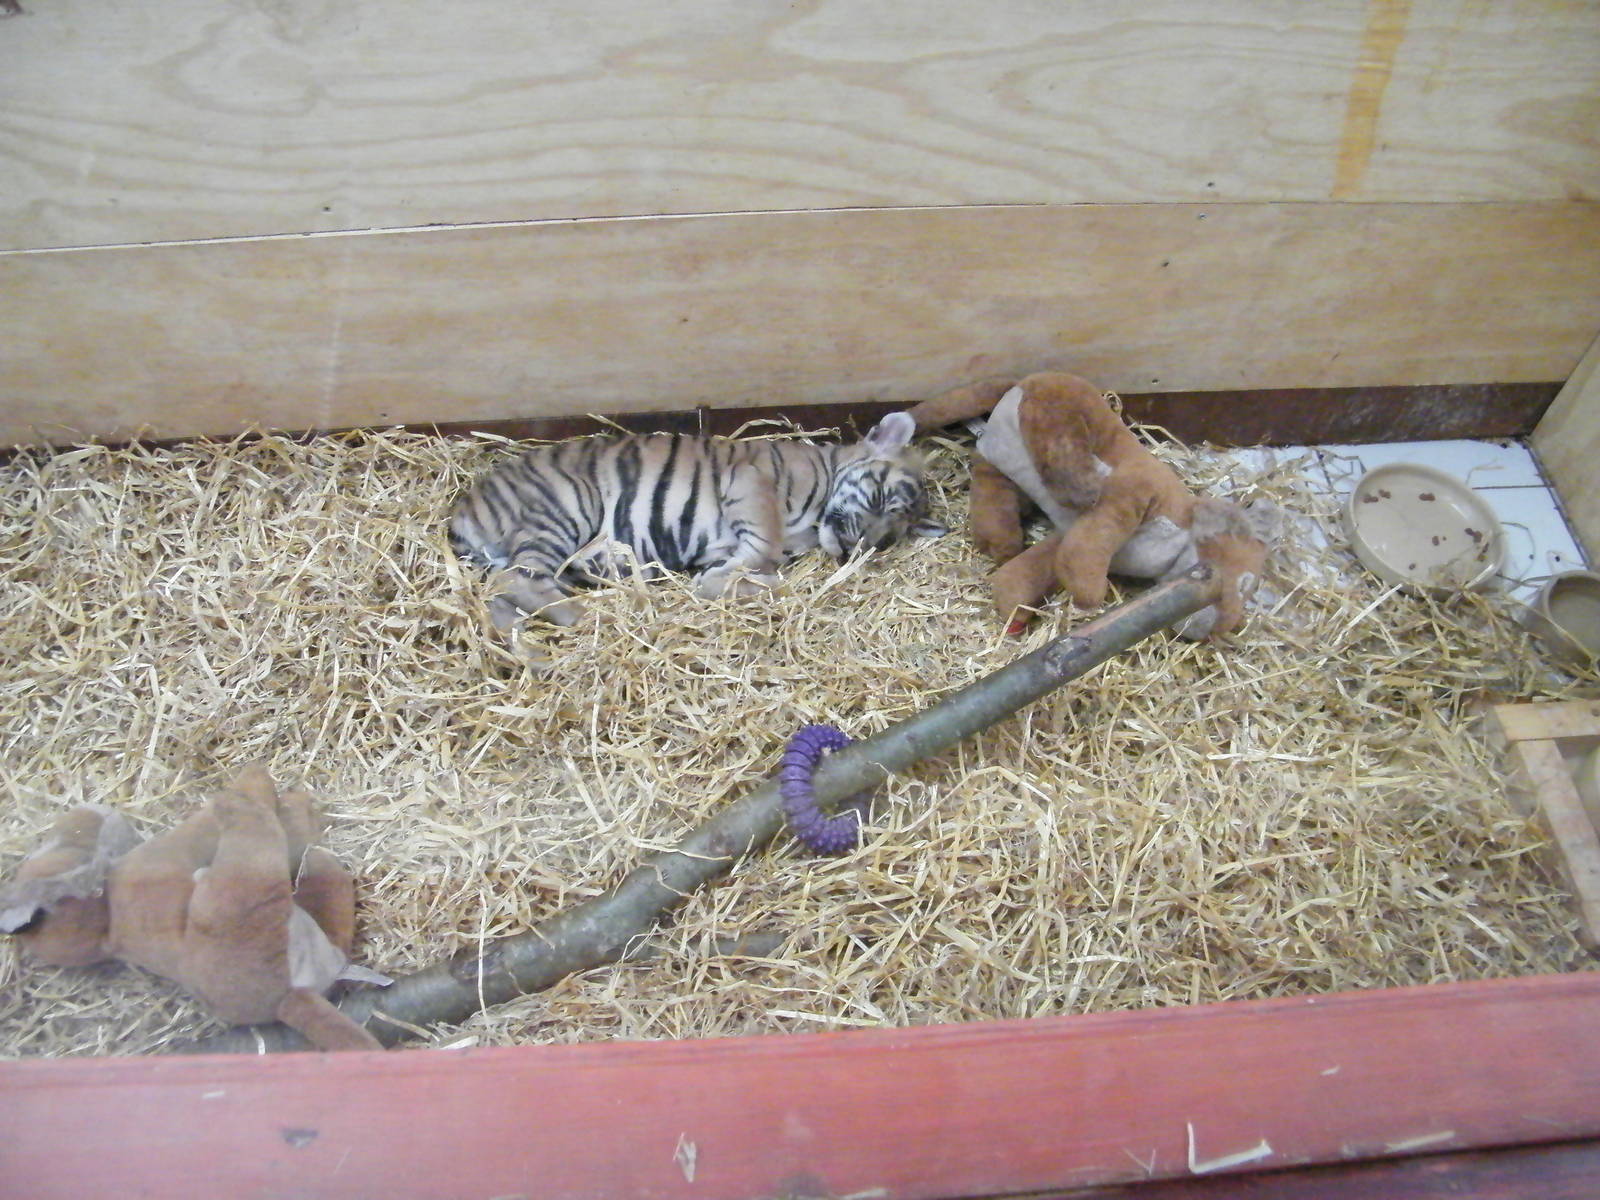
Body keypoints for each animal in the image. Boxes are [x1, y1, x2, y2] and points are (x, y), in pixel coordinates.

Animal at [448, 412, 946, 630]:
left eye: (889, 541)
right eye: (879, 498)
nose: (859, 547)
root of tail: (465, 508)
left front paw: (726, 584)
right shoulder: (753, 481)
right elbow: (764, 549)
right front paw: (729, 584)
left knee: (501, 597)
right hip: (566, 507)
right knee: (519, 578)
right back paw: (585, 617)